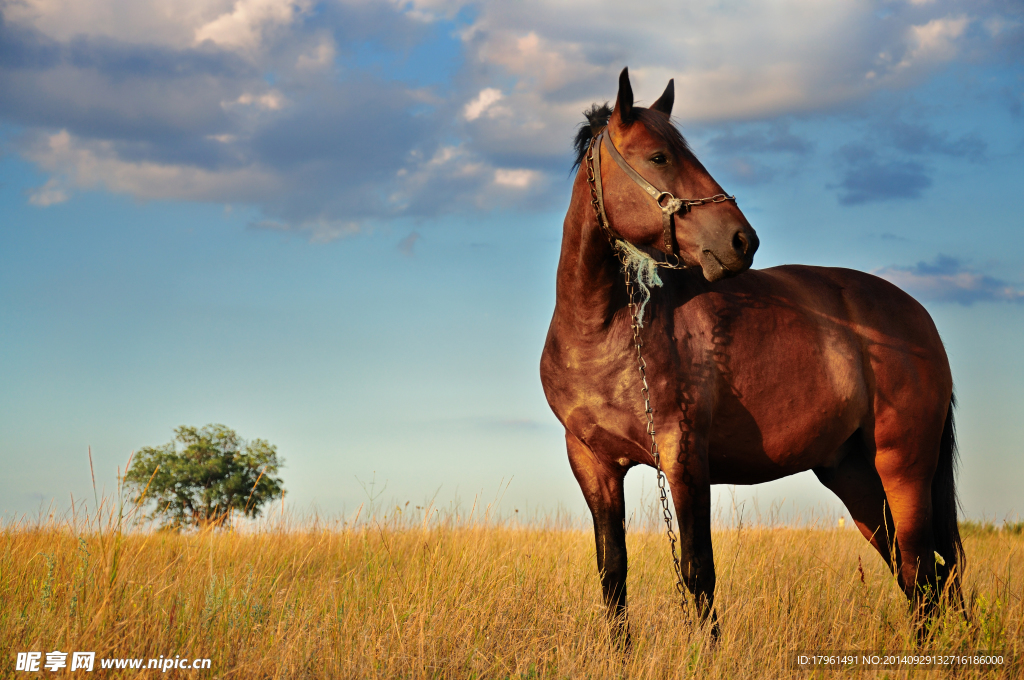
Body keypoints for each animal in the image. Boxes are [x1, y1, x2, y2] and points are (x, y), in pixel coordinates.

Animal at [540, 69, 962, 643]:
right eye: (658, 157)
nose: (744, 240)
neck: (603, 331)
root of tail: (920, 318)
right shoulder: (593, 463)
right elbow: (613, 573)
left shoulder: (684, 456)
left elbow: (698, 571)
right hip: (854, 476)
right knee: (916, 573)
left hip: (903, 468)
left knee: (922, 573)